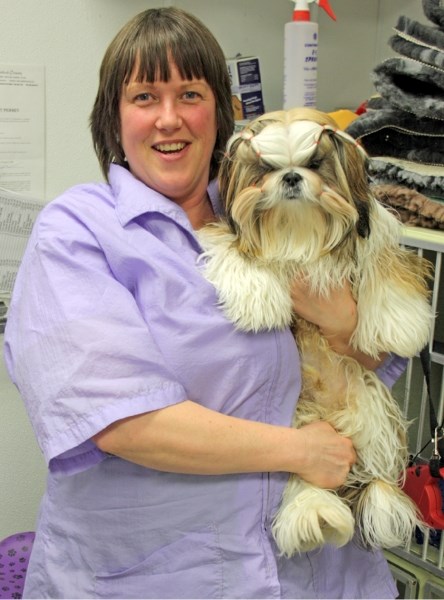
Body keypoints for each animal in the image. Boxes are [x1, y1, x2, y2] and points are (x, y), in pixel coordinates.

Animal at [198, 106, 434, 552]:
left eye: (314, 163)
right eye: (266, 169)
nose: (291, 177)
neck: (300, 232)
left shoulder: (374, 233)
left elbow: (386, 266)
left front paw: (401, 323)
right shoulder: (231, 233)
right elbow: (239, 252)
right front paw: (258, 301)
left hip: (372, 407)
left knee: (378, 474)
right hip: (293, 432)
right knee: (303, 476)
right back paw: (313, 514)